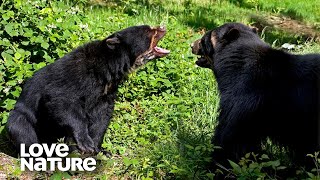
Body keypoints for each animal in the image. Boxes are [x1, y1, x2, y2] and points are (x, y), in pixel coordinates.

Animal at [6, 25, 170, 155]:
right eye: (149, 31)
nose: (163, 27)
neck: (109, 70)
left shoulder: (106, 91)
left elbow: (101, 116)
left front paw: (99, 149)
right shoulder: (75, 76)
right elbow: (60, 100)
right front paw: (86, 143)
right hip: (27, 119)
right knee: (21, 128)